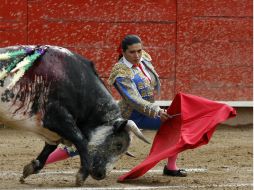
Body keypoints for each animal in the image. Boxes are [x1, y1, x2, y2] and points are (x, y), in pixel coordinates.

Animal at [0, 45, 149, 186]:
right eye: (118, 144)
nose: (101, 175)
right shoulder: (56, 118)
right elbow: (81, 140)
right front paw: (81, 176)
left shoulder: (53, 129)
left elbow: (50, 147)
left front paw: (30, 168)